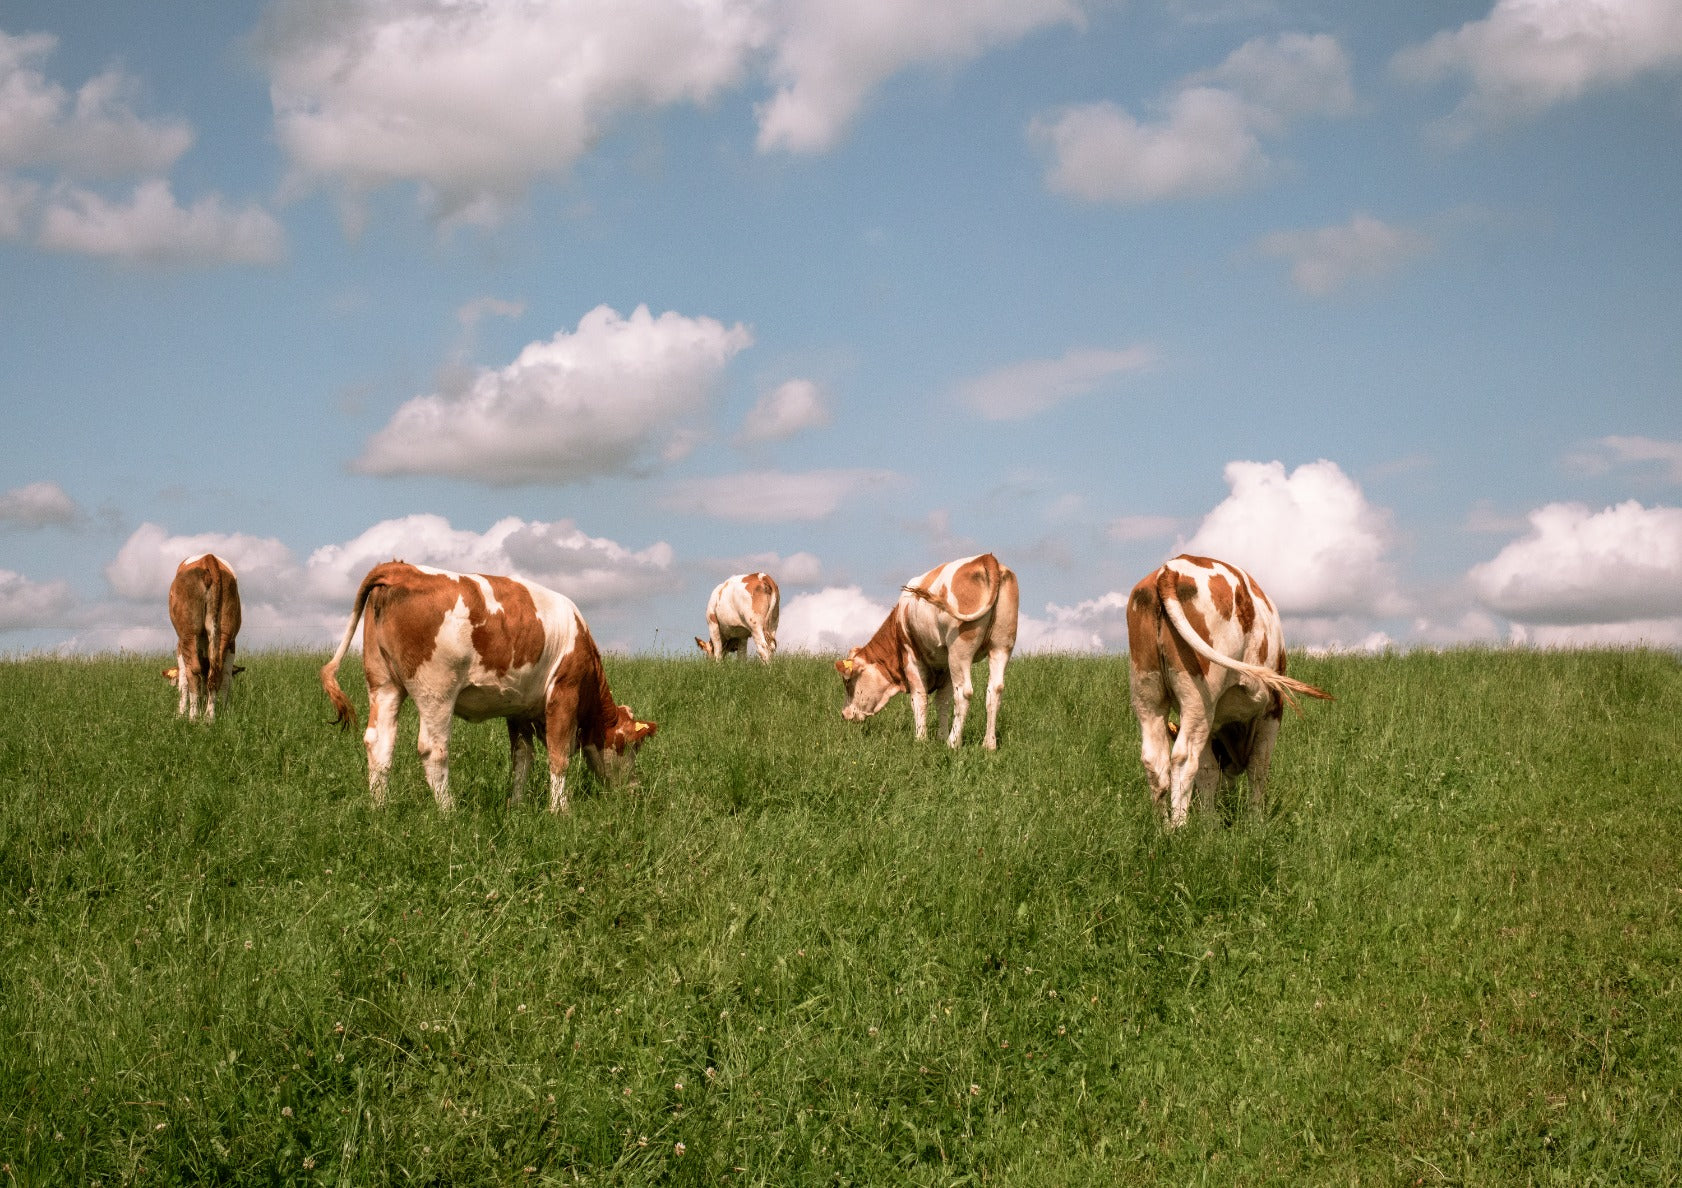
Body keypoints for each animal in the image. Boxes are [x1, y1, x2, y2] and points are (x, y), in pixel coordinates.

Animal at [161, 553, 243, 722]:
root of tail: (208, 557)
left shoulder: (179, 647)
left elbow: (183, 680)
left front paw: (180, 713)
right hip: (226, 635)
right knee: (218, 674)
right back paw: (210, 717)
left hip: (188, 634)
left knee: (193, 672)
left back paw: (193, 716)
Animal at [319, 562, 657, 813]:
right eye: (632, 745)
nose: (634, 789)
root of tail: (400, 568)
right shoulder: (564, 692)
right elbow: (559, 756)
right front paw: (561, 811)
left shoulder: (520, 709)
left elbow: (522, 759)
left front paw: (516, 806)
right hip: (436, 688)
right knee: (432, 749)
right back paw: (449, 811)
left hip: (383, 683)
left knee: (379, 742)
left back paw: (381, 809)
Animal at [836, 553, 1019, 750]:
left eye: (848, 682)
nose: (844, 714)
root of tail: (986, 558)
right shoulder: (945, 667)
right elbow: (943, 701)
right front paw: (941, 736)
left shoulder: (911, 658)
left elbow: (919, 699)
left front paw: (921, 739)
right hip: (1002, 646)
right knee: (995, 690)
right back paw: (989, 744)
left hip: (960, 651)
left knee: (964, 692)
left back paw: (953, 743)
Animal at [1127, 554, 1332, 828]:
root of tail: (1171, 568)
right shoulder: (1272, 708)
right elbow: (1259, 766)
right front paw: (1256, 822)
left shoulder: (1211, 724)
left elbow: (1208, 771)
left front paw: (1209, 824)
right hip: (1198, 697)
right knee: (1183, 758)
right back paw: (1179, 828)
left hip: (1148, 693)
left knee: (1155, 761)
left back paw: (1163, 828)